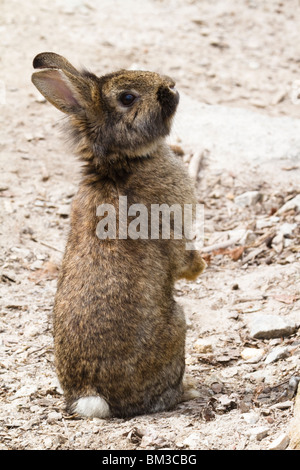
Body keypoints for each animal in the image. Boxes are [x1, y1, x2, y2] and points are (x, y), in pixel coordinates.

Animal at [31, 52, 205, 418]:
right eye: (127, 98)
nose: (170, 85)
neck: (120, 161)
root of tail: (92, 394)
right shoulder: (174, 231)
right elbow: (181, 259)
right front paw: (200, 266)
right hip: (178, 326)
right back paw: (189, 391)